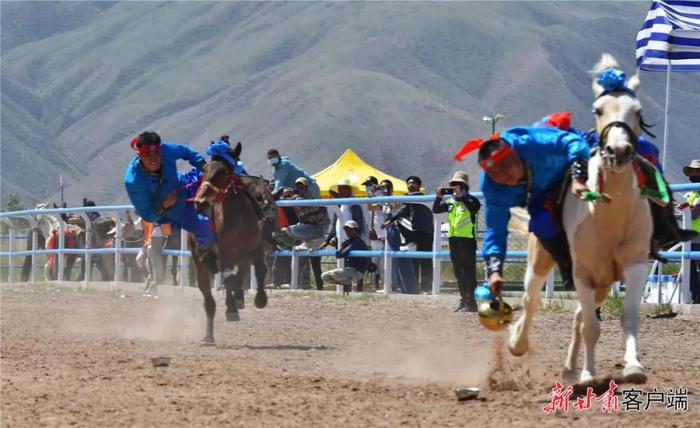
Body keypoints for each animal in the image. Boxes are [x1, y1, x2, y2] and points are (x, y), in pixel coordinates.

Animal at [194, 145, 270, 346]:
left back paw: (239, 298)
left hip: (242, 256)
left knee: (240, 273)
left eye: (225, 171)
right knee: (210, 299)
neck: (237, 219)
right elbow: (228, 278)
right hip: (200, 262)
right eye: (205, 169)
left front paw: (260, 299)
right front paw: (231, 309)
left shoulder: (255, 249)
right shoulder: (224, 254)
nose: (200, 202)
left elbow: (260, 270)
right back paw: (209, 336)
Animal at [508, 53, 652, 384]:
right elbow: (591, 327)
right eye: (598, 110)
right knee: (531, 301)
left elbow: (628, 318)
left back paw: (569, 368)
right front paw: (589, 375)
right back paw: (517, 343)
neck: (610, 216)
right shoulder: (582, 273)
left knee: (576, 316)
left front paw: (633, 367)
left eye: (637, 112)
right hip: (542, 258)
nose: (618, 151)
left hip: (603, 282)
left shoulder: (635, 266)